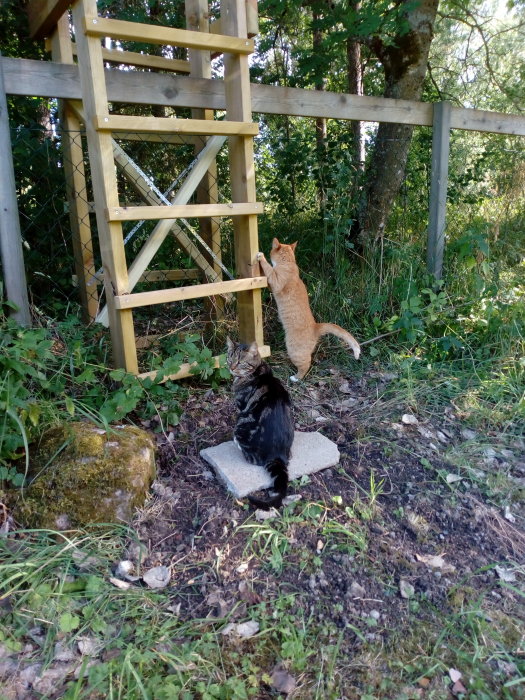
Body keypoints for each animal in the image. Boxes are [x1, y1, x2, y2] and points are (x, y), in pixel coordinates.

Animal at [256, 238, 360, 380]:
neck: (289, 262)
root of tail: (316, 326)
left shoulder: (276, 281)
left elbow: (269, 268)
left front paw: (261, 257)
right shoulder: (272, 285)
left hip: (293, 349)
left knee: (306, 365)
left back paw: (295, 378)